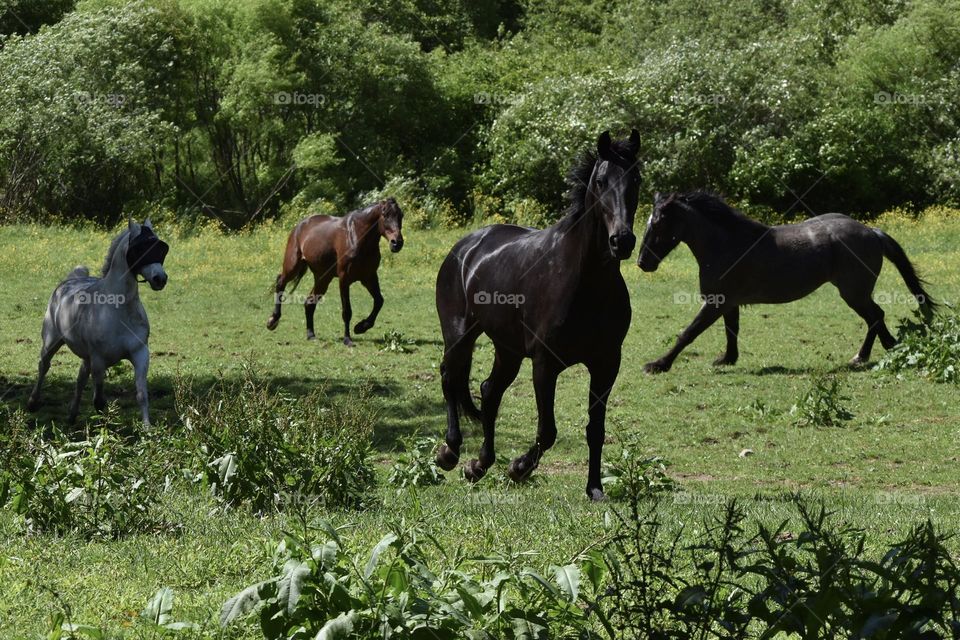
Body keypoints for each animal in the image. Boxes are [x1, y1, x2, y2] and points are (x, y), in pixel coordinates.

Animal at [264, 198, 404, 344]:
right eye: (385, 215)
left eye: (401, 215)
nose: (397, 243)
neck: (357, 236)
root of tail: (299, 226)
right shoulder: (344, 279)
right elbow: (347, 311)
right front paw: (347, 339)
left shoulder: (369, 277)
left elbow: (379, 301)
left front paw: (361, 327)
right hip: (293, 266)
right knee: (280, 281)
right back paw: (273, 320)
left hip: (323, 278)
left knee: (309, 303)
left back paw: (311, 335)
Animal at [438, 130, 640, 500]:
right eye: (601, 181)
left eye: (636, 180)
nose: (622, 240)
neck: (585, 283)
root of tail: (466, 246)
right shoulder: (545, 364)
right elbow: (548, 431)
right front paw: (519, 468)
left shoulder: (606, 364)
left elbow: (596, 428)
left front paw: (594, 488)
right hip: (460, 335)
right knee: (450, 378)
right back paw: (450, 452)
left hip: (508, 350)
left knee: (489, 391)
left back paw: (479, 465)